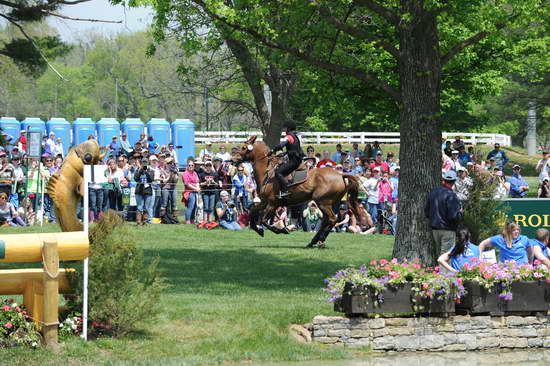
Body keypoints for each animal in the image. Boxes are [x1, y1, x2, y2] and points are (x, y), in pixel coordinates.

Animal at [234, 136, 366, 247]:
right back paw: (314, 242)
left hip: (323, 202)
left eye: (244, 147)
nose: (233, 159)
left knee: (332, 219)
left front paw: (282, 230)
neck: (267, 172)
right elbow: (252, 213)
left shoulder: (272, 204)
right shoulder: (264, 202)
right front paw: (259, 230)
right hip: (332, 203)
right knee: (328, 220)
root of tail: (340, 175)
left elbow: (264, 221)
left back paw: (320, 241)